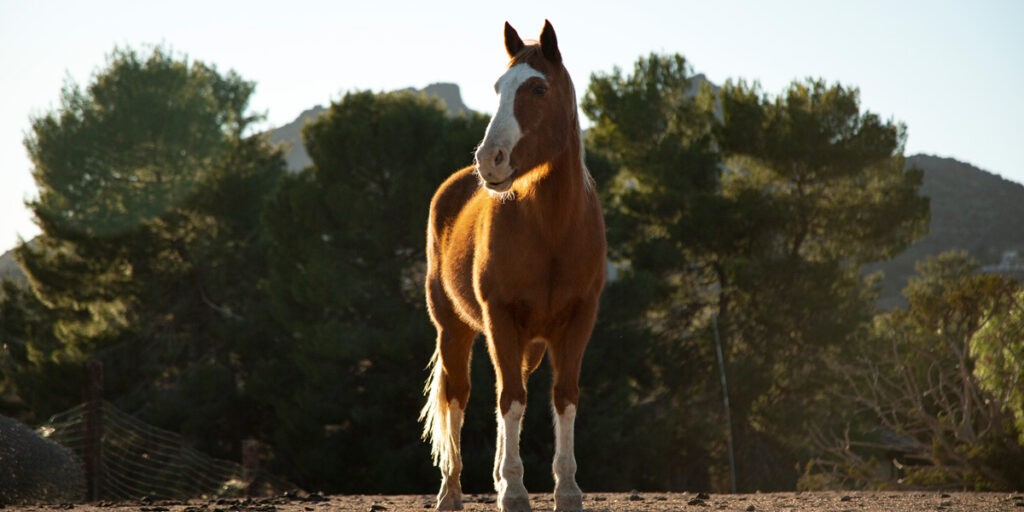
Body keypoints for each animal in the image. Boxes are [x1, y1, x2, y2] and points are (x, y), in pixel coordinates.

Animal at [419, 20, 606, 512]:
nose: (489, 160)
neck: (553, 228)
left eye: (538, 88)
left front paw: (567, 489)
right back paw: (450, 491)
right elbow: (510, 402)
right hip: (454, 329)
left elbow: (562, 398)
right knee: (459, 397)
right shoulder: (500, 317)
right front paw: (516, 491)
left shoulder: (577, 321)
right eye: (498, 87)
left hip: (529, 344)